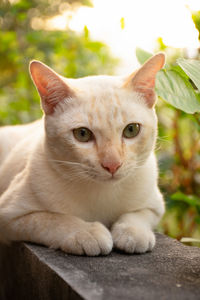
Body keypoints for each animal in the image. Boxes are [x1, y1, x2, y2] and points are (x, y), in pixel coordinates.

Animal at [0, 53, 166, 255]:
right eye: (82, 134)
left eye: (131, 130)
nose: (112, 164)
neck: (103, 193)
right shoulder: (9, 215)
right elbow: (52, 219)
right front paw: (86, 232)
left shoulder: (154, 205)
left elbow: (138, 215)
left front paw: (132, 233)